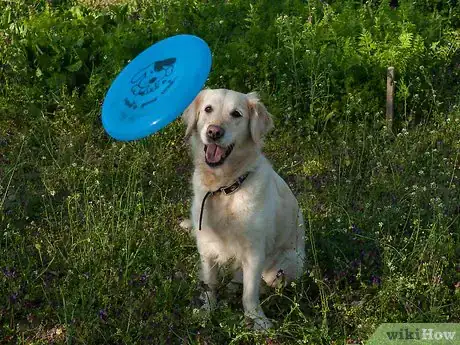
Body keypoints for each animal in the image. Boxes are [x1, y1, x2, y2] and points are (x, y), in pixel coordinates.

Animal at [181, 87, 306, 330]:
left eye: (236, 114)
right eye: (208, 109)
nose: (214, 132)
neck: (224, 188)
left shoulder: (254, 252)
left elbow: (249, 294)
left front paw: (258, 321)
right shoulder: (207, 246)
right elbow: (210, 284)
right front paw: (207, 311)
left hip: (287, 264)